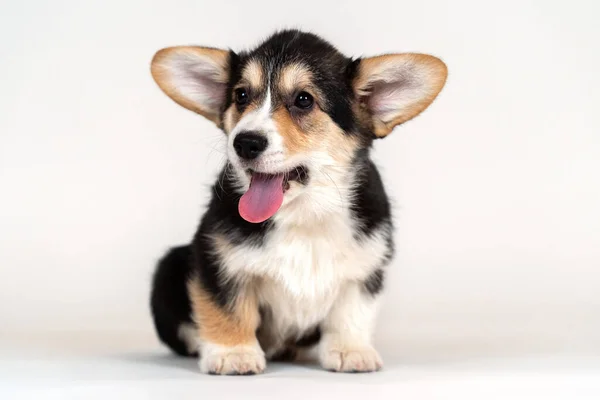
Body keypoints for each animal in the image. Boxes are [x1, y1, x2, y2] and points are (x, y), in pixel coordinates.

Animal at [149, 28, 446, 376]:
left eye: (304, 100)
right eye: (241, 96)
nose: (245, 142)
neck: (304, 213)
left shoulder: (365, 267)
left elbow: (351, 312)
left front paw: (350, 350)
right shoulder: (217, 257)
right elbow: (228, 307)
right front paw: (233, 353)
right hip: (169, 267)